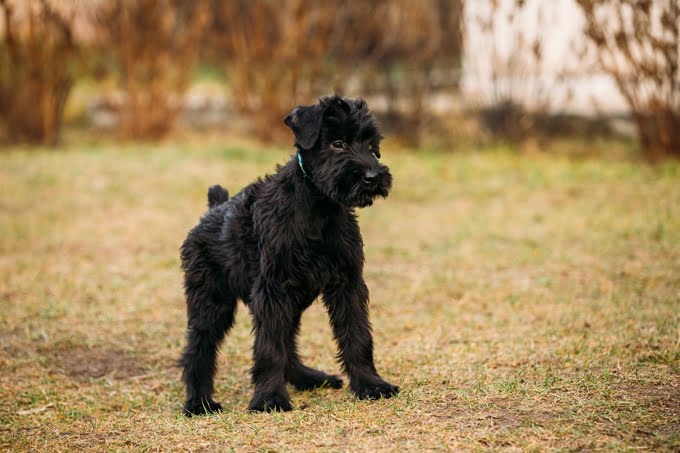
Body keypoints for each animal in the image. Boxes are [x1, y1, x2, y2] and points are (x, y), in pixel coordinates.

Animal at [178, 95, 398, 414]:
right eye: (337, 143)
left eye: (370, 144)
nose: (372, 176)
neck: (318, 209)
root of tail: (213, 209)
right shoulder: (271, 290)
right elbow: (269, 348)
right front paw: (269, 398)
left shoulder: (348, 283)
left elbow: (357, 335)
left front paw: (371, 384)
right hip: (212, 302)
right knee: (198, 349)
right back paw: (199, 402)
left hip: (291, 301)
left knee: (288, 343)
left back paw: (307, 378)